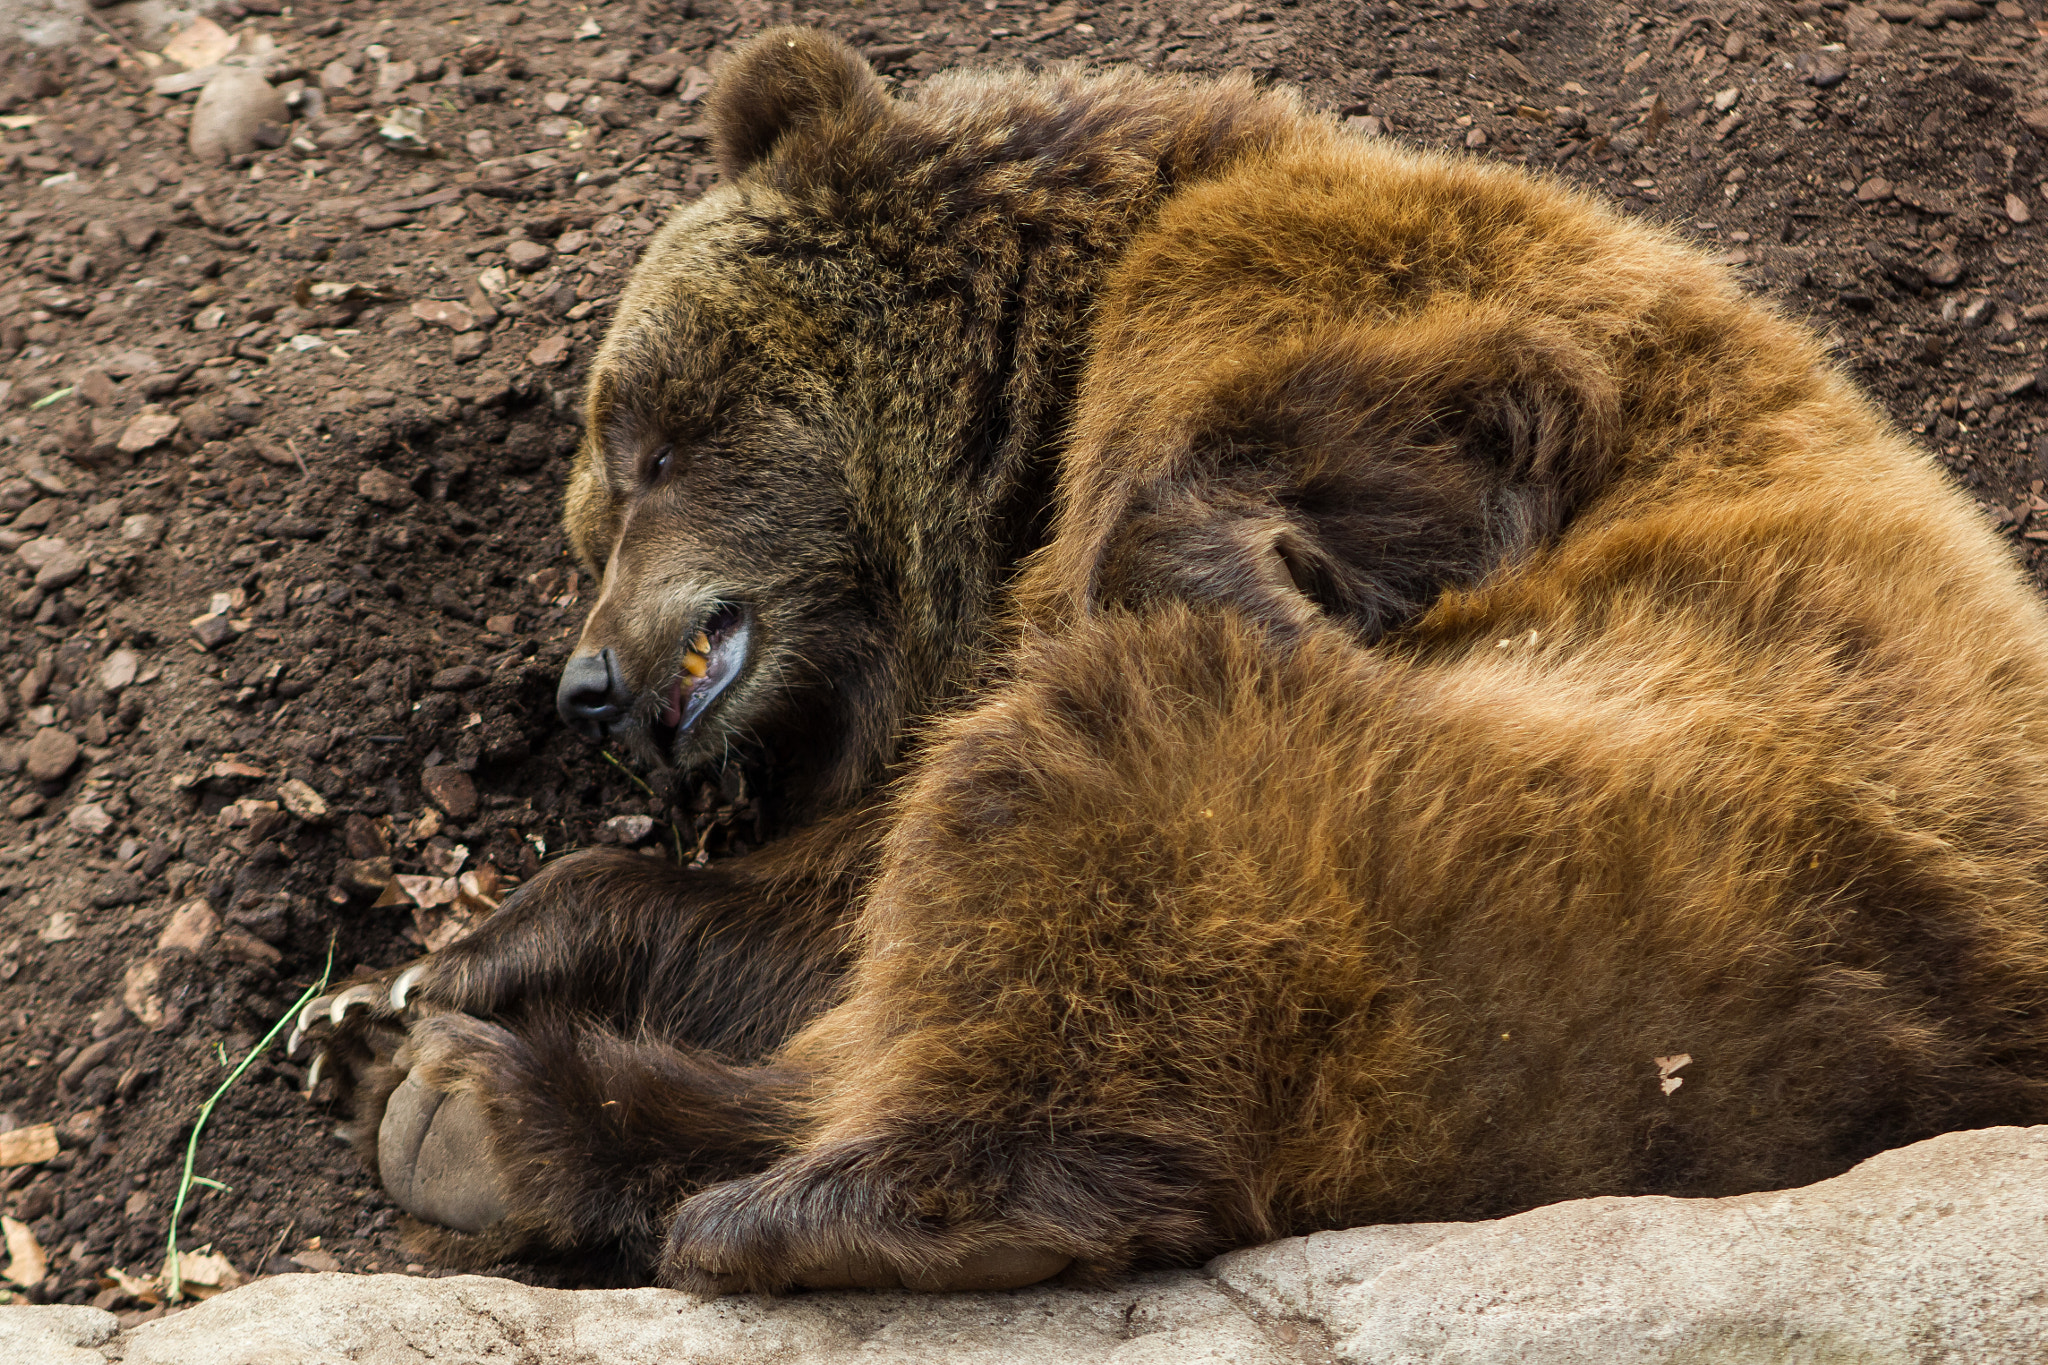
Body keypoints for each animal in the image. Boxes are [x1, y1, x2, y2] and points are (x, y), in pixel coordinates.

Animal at [296, 29, 2048, 1294]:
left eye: (650, 445)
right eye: (595, 511)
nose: (587, 684)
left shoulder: (1330, 286)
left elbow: (1398, 428)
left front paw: (1264, 591)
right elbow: (820, 912)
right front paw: (416, 972)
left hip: (1632, 885)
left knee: (1089, 800)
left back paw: (793, 1201)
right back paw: (448, 1098)